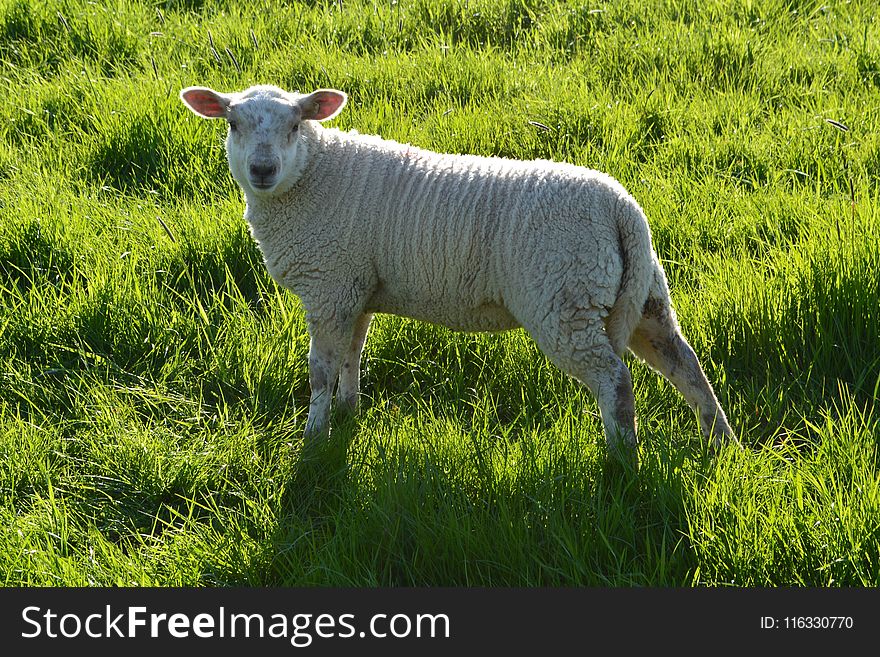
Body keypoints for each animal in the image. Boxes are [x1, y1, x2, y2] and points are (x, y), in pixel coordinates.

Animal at [177, 83, 736, 462]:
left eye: (294, 125)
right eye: (233, 124)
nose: (262, 170)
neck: (312, 177)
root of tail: (623, 209)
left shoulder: (328, 285)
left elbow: (320, 370)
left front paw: (314, 439)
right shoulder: (354, 288)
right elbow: (352, 357)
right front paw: (348, 413)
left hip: (563, 300)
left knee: (615, 381)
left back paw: (622, 462)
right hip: (639, 293)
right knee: (684, 363)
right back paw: (721, 444)